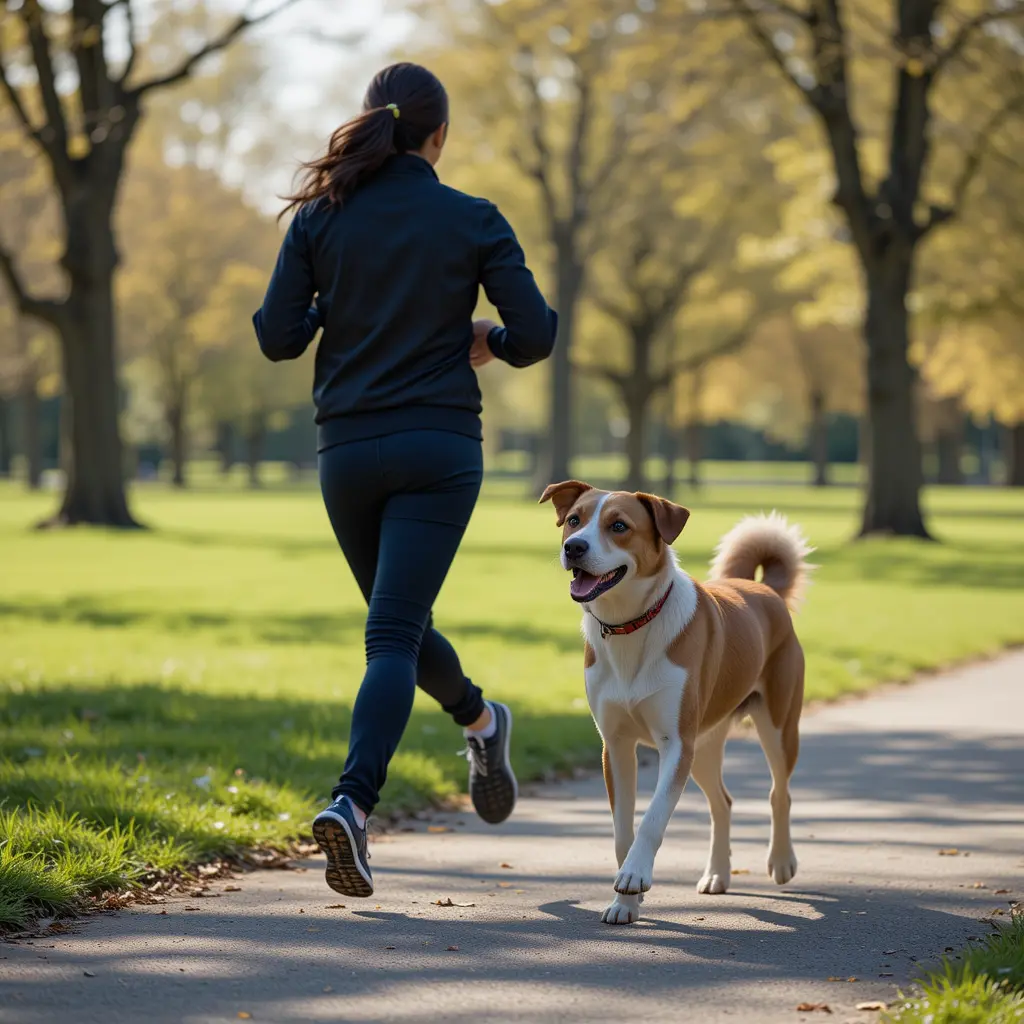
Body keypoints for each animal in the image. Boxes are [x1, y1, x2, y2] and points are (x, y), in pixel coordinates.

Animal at [540, 483, 811, 925]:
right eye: (575, 520)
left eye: (619, 526)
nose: (574, 547)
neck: (630, 626)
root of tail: (762, 589)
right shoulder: (616, 747)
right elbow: (623, 831)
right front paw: (625, 903)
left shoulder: (676, 745)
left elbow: (652, 818)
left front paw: (635, 876)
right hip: (704, 745)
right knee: (723, 803)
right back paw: (717, 873)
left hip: (776, 725)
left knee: (779, 793)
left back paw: (782, 861)